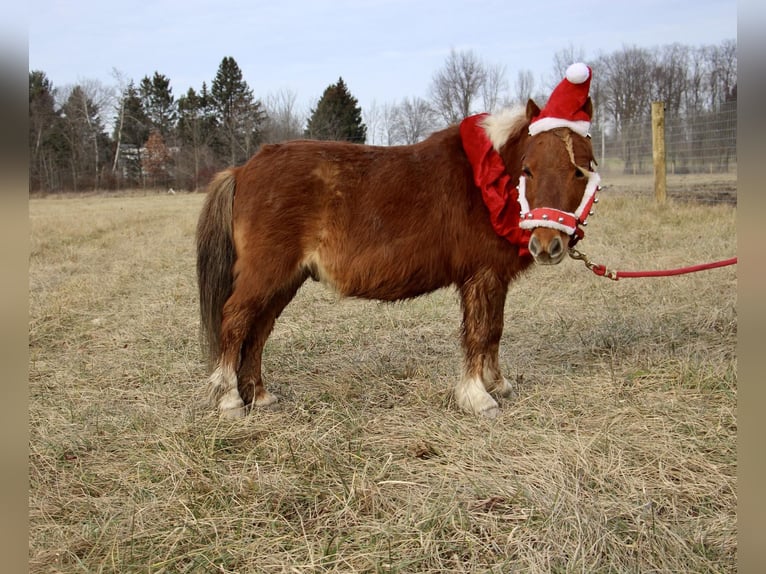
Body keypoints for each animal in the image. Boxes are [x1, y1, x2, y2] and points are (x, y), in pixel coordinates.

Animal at [196, 99, 600, 420]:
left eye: (580, 170)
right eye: (528, 169)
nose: (547, 244)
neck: (485, 180)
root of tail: (243, 170)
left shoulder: (495, 279)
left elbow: (494, 331)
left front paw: (497, 384)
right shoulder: (480, 276)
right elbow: (478, 333)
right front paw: (477, 397)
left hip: (284, 281)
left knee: (258, 331)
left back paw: (260, 396)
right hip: (265, 276)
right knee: (235, 323)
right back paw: (230, 400)